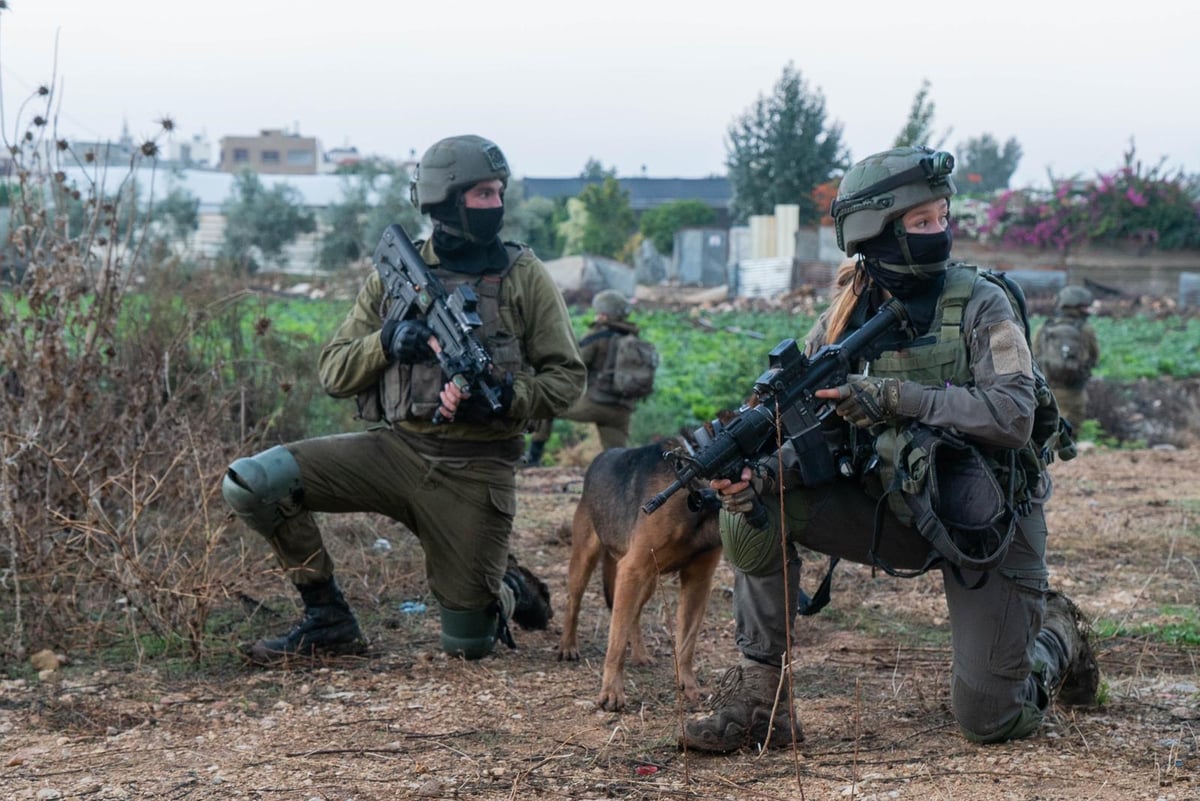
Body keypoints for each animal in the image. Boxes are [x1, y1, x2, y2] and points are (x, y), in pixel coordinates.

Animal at [554, 438, 720, 714]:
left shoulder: (698, 579)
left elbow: (687, 642)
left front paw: (689, 686)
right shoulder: (632, 569)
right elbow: (616, 643)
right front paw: (611, 693)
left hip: (647, 581)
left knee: (634, 615)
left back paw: (640, 654)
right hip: (586, 559)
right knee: (574, 603)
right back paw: (568, 646)